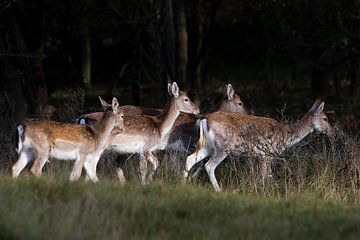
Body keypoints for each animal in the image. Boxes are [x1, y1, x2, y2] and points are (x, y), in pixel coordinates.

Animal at [184, 99, 334, 191]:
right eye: (325, 118)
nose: (332, 131)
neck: (285, 137)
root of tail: (205, 120)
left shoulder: (262, 157)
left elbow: (266, 176)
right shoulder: (267, 154)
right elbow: (266, 177)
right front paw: (266, 191)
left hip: (208, 146)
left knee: (190, 159)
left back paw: (183, 182)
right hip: (223, 147)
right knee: (209, 165)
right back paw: (218, 190)